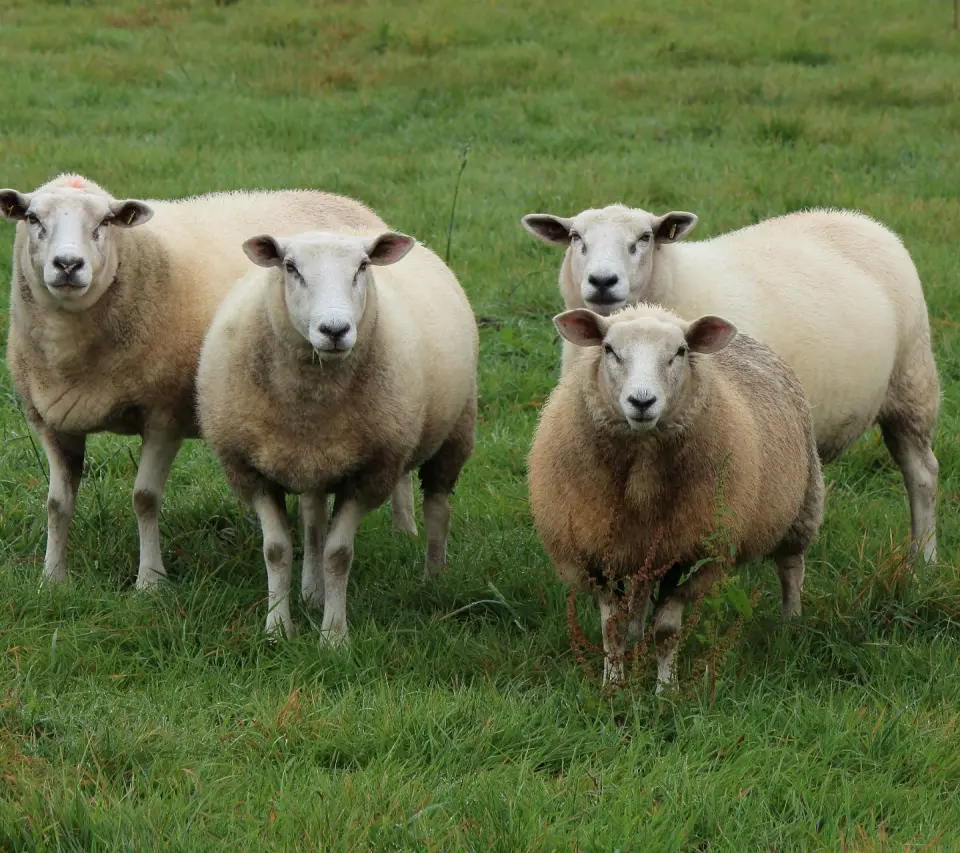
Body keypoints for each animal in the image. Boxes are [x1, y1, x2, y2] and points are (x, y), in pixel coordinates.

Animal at [0, 173, 417, 591]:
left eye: (104, 222)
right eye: (33, 218)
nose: (68, 264)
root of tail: (350, 204)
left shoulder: (165, 415)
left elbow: (144, 498)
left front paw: (150, 580)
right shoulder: (50, 421)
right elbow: (57, 503)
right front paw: (53, 577)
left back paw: (405, 532)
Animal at [195, 228, 478, 642]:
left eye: (362, 266)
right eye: (290, 267)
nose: (335, 330)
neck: (310, 404)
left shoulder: (371, 474)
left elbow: (338, 554)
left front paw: (333, 636)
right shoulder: (249, 470)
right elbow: (276, 549)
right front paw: (278, 628)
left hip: (456, 431)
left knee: (439, 508)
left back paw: (434, 577)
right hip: (314, 461)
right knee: (313, 520)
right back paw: (312, 591)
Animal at [521, 205, 940, 562]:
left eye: (645, 237)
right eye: (575, 236)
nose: (603, 281)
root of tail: (859, 218)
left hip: (912, 384)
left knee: (922, 475)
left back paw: (923, 560)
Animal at [527, 303, 824, 689]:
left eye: (680, 352)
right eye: (609, 349)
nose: (642, 401)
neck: (641, 478)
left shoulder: (696, 551)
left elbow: (667, 629)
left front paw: (665, 689)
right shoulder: (597, 551)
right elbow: (611, 627)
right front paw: (613, 685)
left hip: (802, 504)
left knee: (791, 567)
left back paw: (791, 624)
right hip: (646, 545)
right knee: (640, 592)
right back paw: (636, 633)